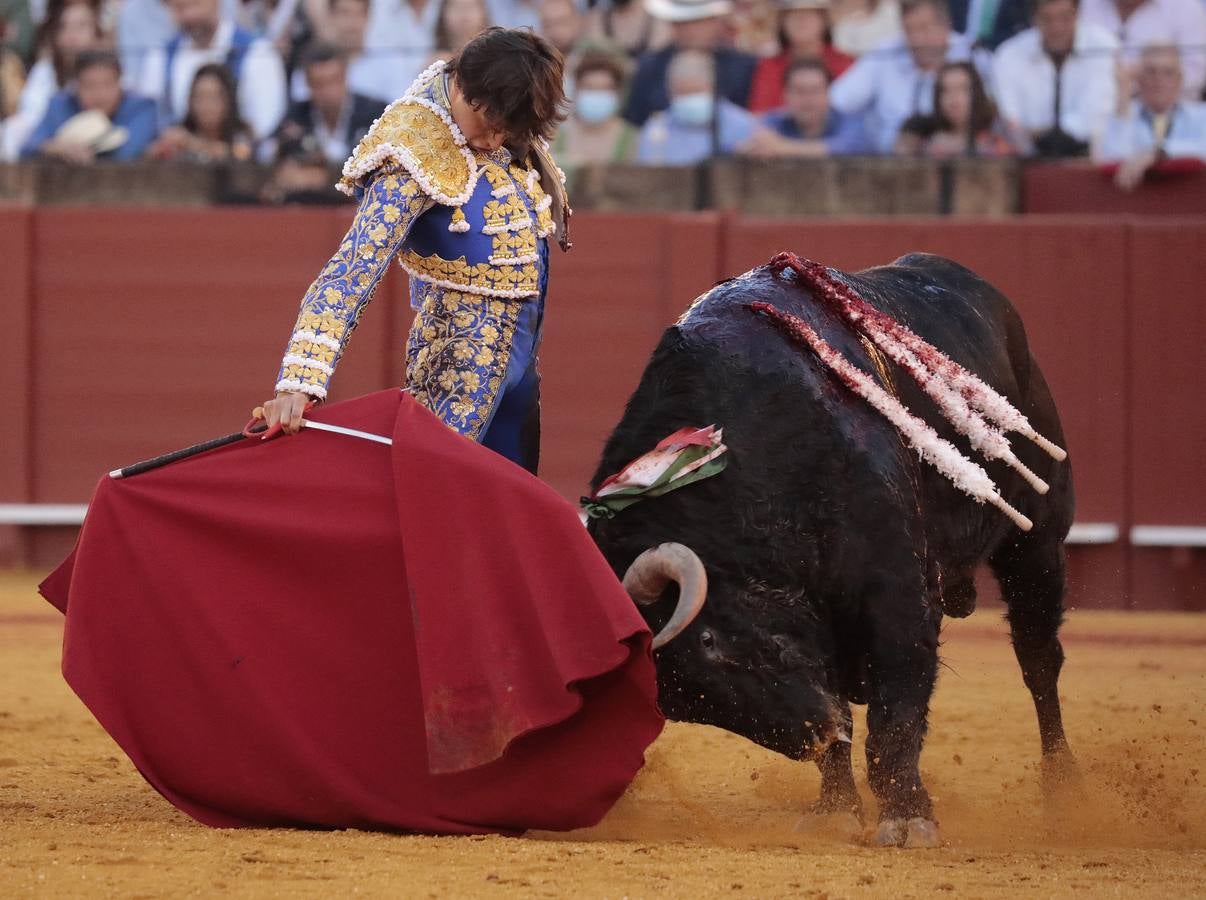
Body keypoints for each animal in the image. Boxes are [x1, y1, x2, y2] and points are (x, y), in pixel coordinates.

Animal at [588, 250, 1080, 839]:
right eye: (679, 700)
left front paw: (907, 818)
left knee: (1038, 658)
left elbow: (897, 708)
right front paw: (837, 809)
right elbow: (850, 711)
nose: (814, 733)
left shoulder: (896, 595)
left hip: (1038, 540)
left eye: (709, 642)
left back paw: (1063, 792)